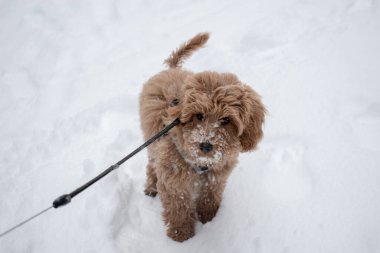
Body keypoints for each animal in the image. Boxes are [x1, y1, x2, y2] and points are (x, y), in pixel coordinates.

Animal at [138, 32, 266, 241]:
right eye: (199, 115)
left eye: (226, 119)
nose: (206, 145)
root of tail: (172, 69)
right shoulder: (174, 179)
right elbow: (178, 206)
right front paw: (181, 233)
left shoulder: (217, 175)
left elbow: (209, 195)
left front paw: (208, 216)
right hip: (153, 143)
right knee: (151, 165)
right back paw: (151, 186)